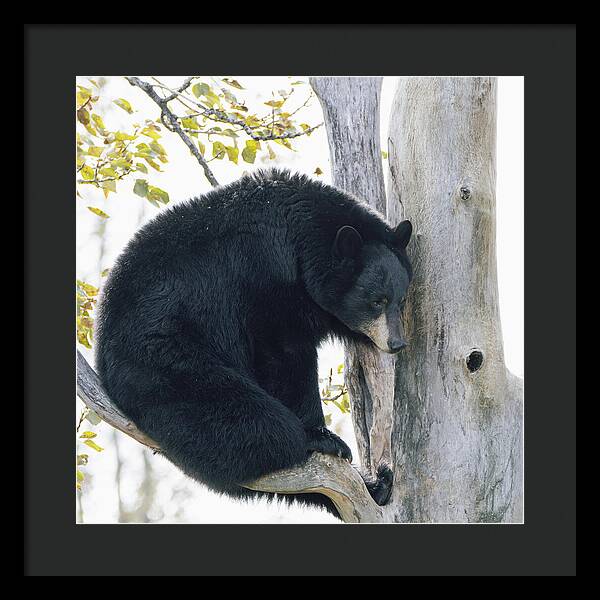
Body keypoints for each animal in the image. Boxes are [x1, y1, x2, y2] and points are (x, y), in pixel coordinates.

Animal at [95, 170, 412, 520]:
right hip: (165, 358)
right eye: (376, 301)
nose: (396, 343)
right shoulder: (263, 278)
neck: (300, 241)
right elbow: (284, 354)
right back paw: (305, 442)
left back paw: (377, 485)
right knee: (252, 422)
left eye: (401, 300)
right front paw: (321, 434)